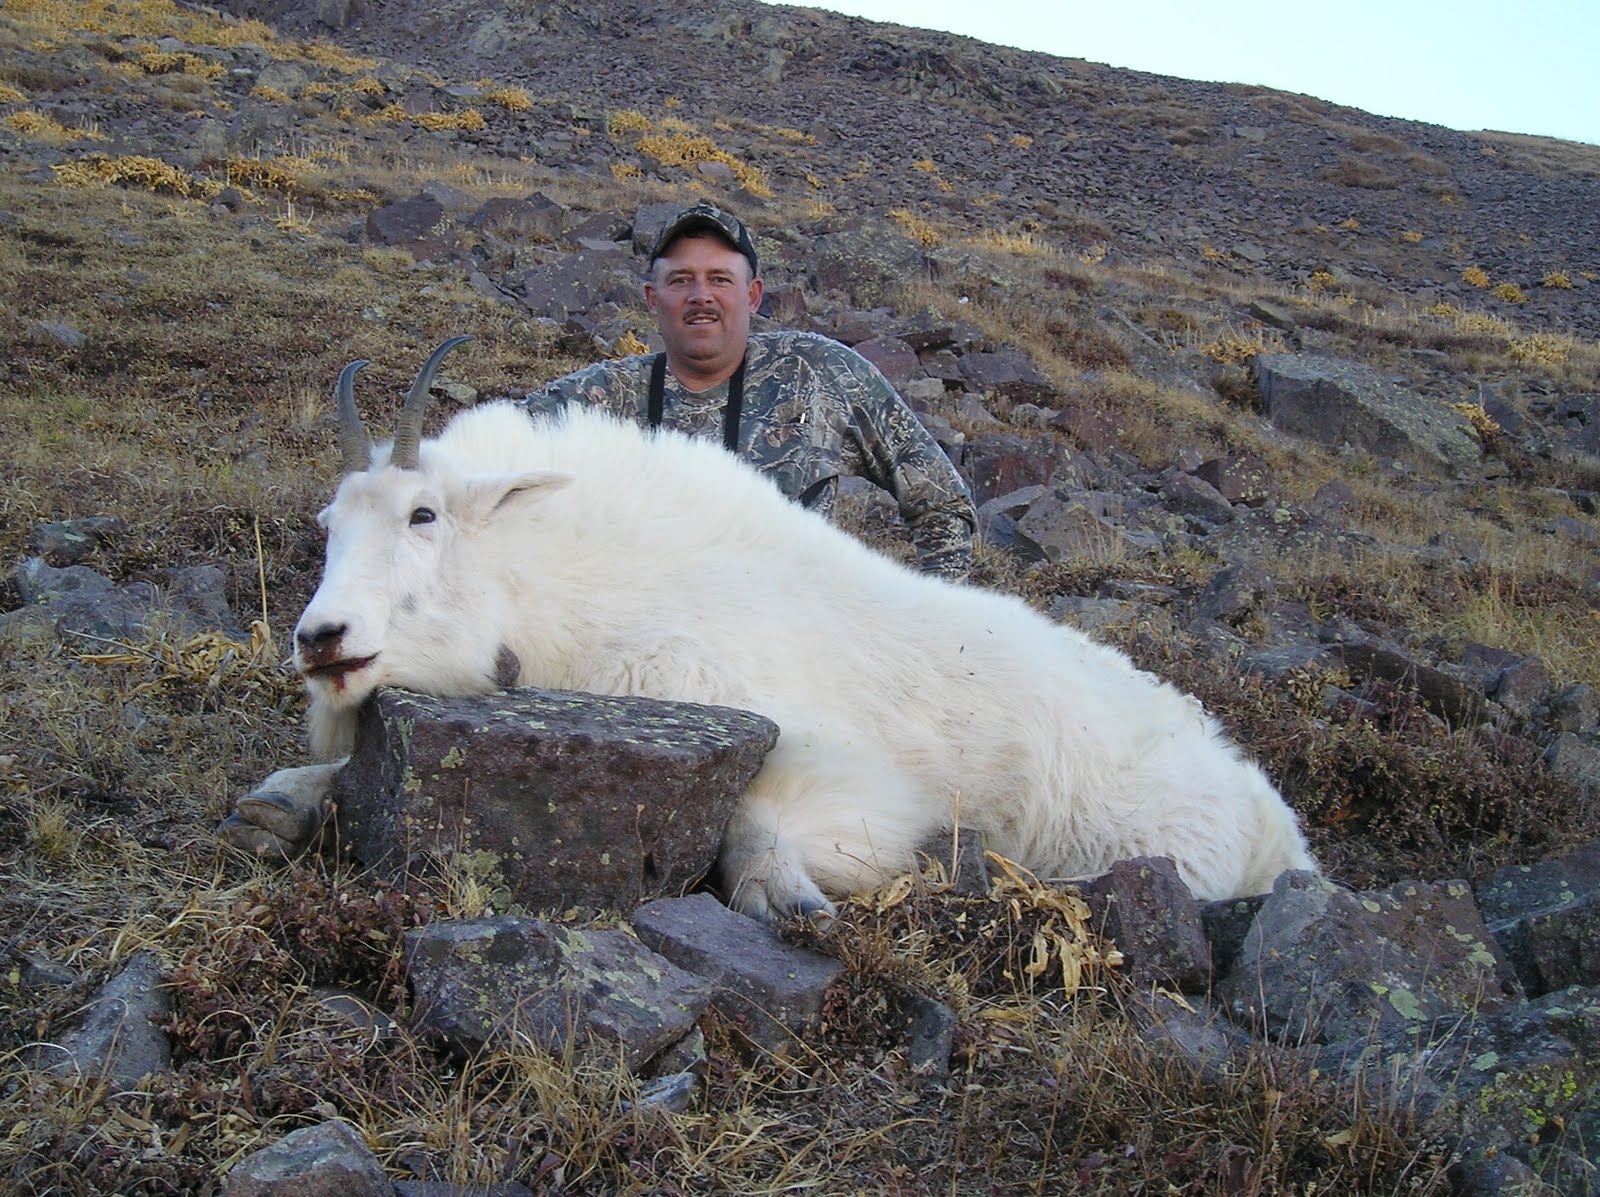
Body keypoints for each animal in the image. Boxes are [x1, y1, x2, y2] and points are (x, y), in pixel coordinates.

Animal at [225, 339, 1316, 920]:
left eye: (423, 516)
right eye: (327, 525)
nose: (322, 639)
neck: (579, 582)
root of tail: (1276, 824)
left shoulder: (835, 766)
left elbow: (759, 827)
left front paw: (799, 897)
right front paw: (282, 806)